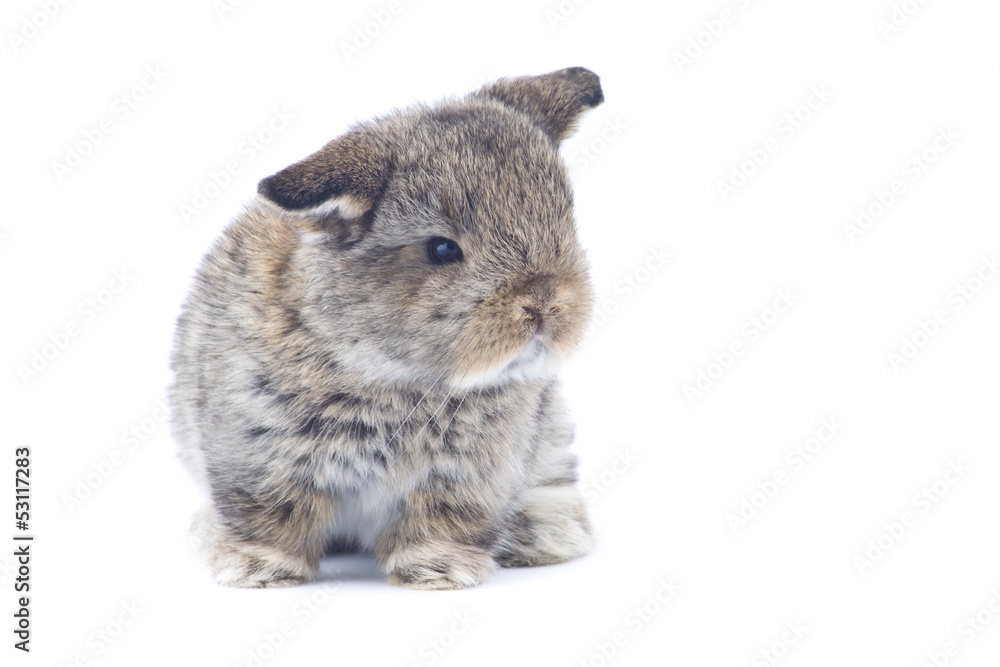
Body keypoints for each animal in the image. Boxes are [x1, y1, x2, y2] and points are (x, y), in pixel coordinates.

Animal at [169, 67, 603, 589]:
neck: (395, 373)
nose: (544, 304)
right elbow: (270, 515)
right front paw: (257, 569)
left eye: (563, 220)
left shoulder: (469, 475)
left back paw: (547, 532)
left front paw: (439, 569)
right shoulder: (256, 454)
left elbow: (443, 519)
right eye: (441, 248)